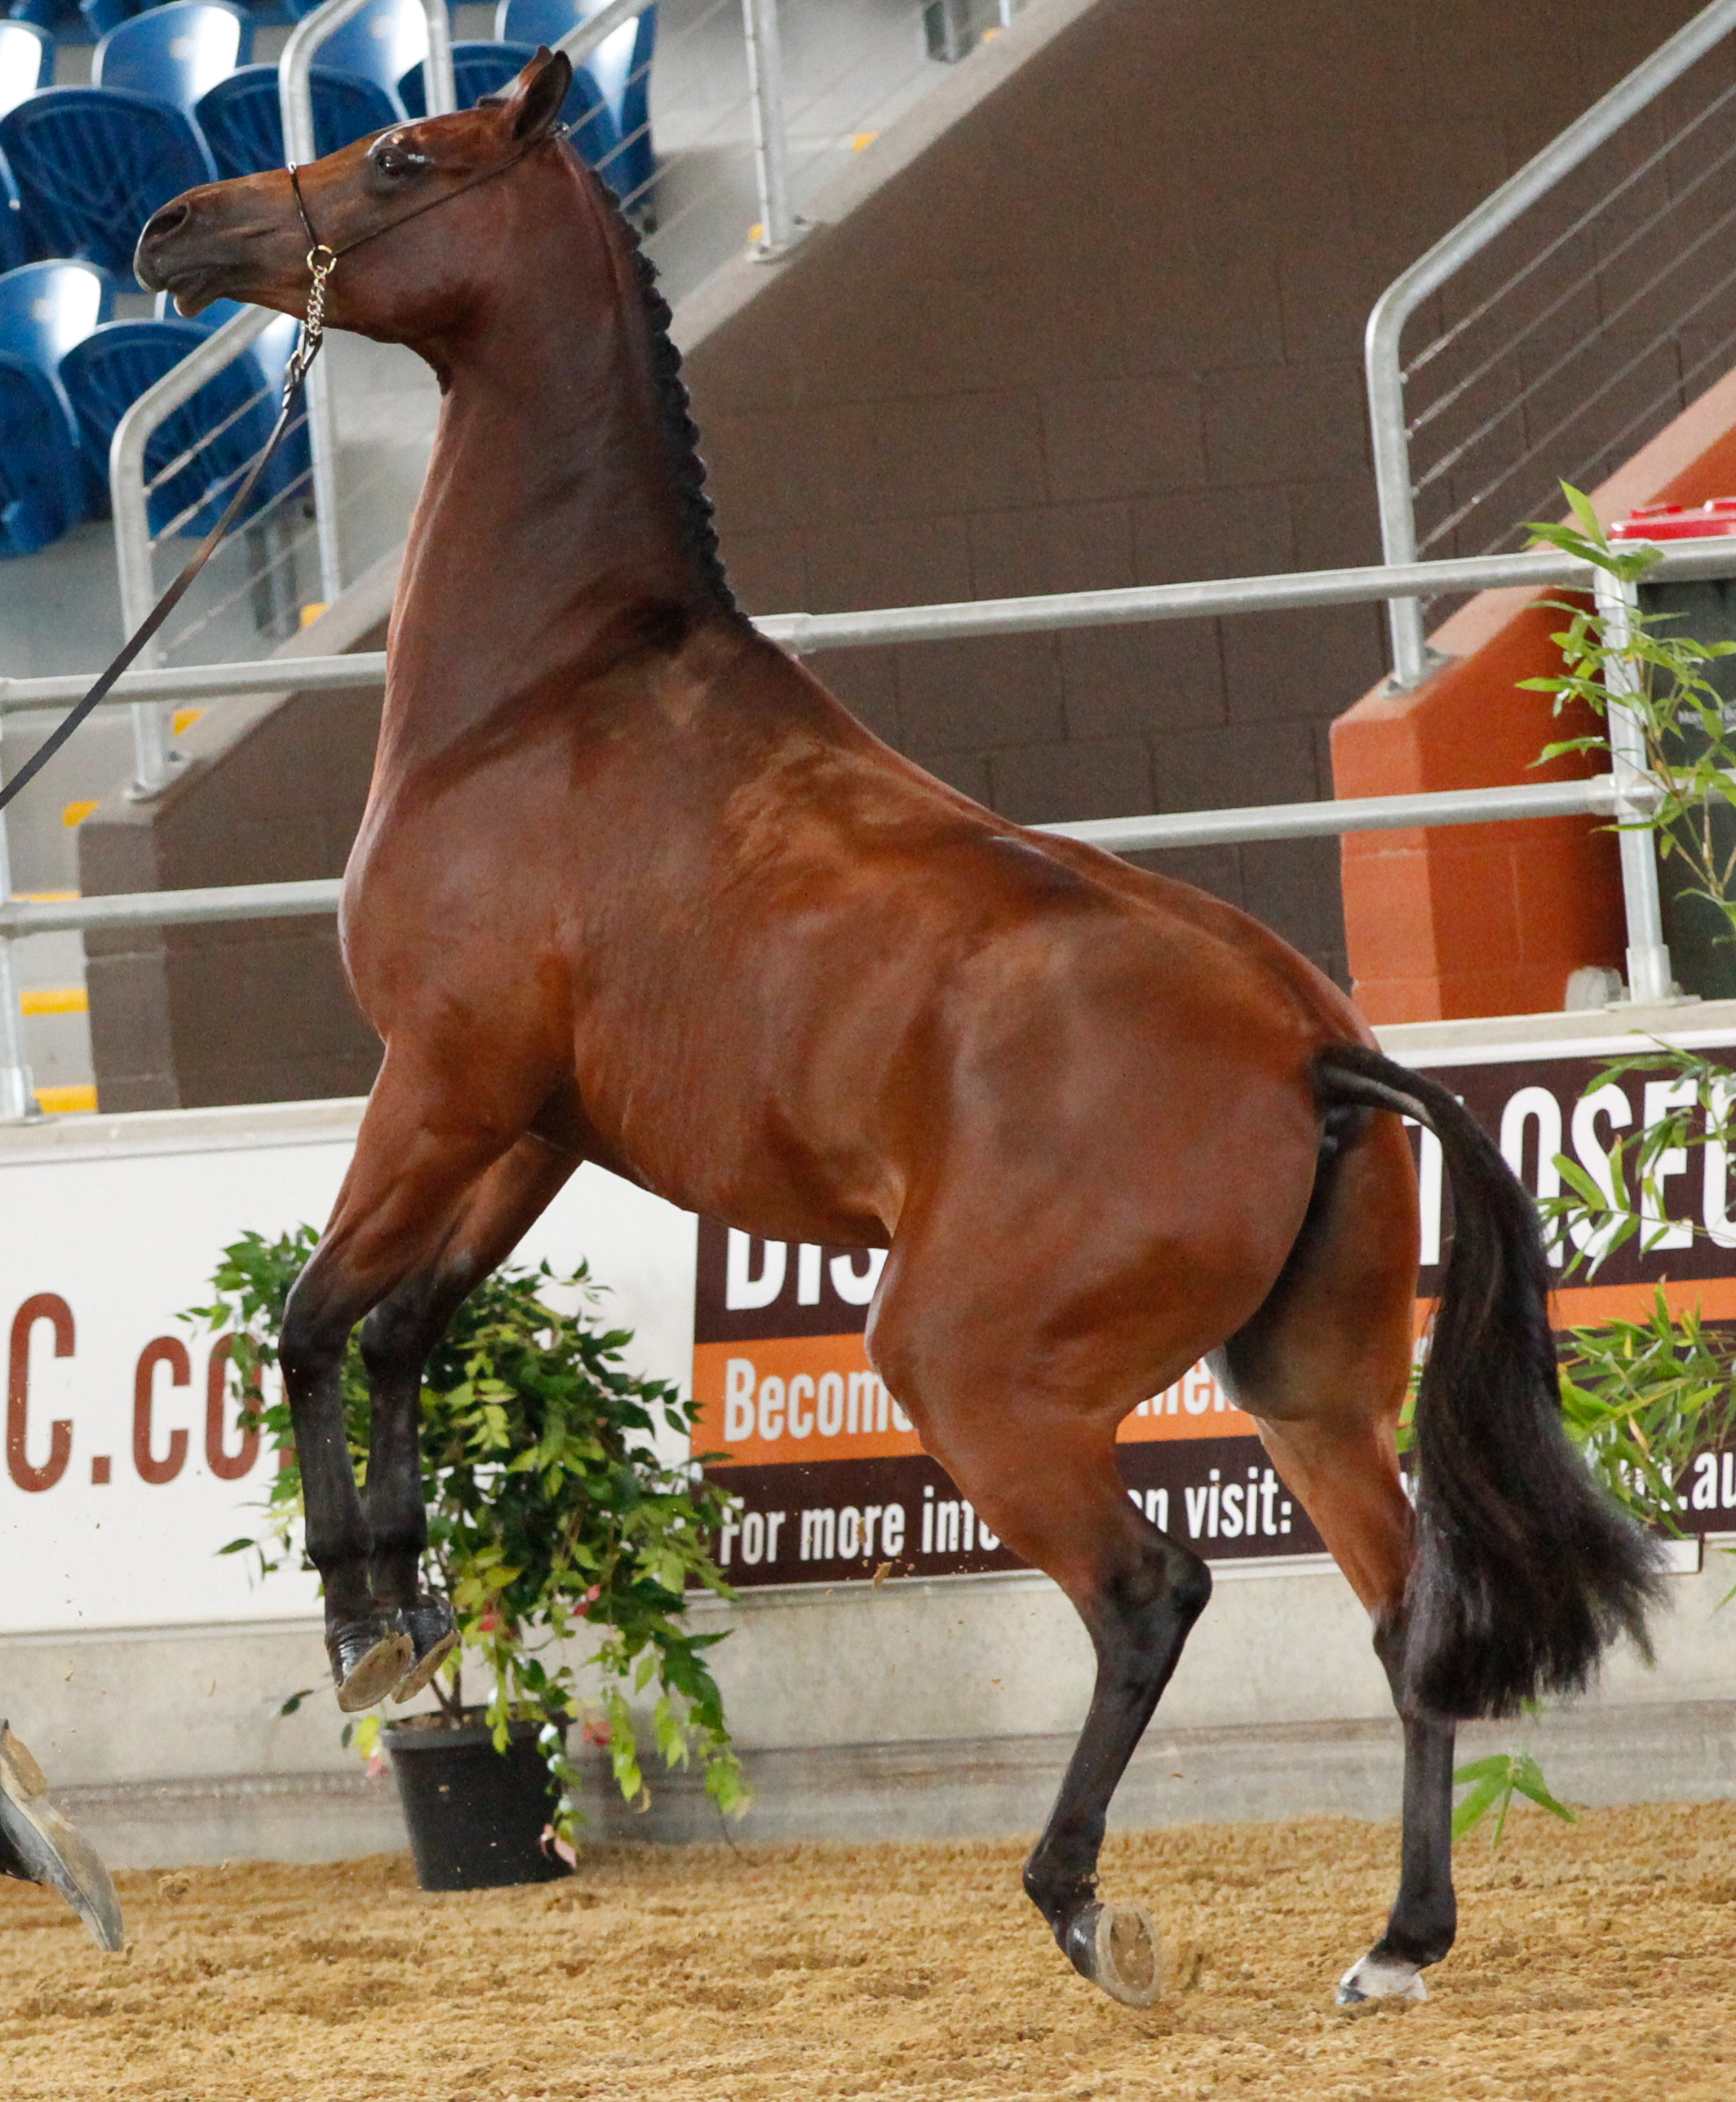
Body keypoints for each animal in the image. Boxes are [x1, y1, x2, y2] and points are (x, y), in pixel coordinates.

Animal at [135, 49, 1647, 2009]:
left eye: (400, 153)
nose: (176, 226)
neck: (555, 691)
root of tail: (1307, 1044)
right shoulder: (532, 1126)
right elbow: (405, 1331)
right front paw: (402, 1602)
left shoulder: (437, 1083)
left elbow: (316, 1323)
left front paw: (361, 1627)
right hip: (1302, 1389)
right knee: (1404, 1616)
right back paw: (1394, 1942)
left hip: (973, 1377)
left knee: (1149, 1594)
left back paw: (1085, 1903)